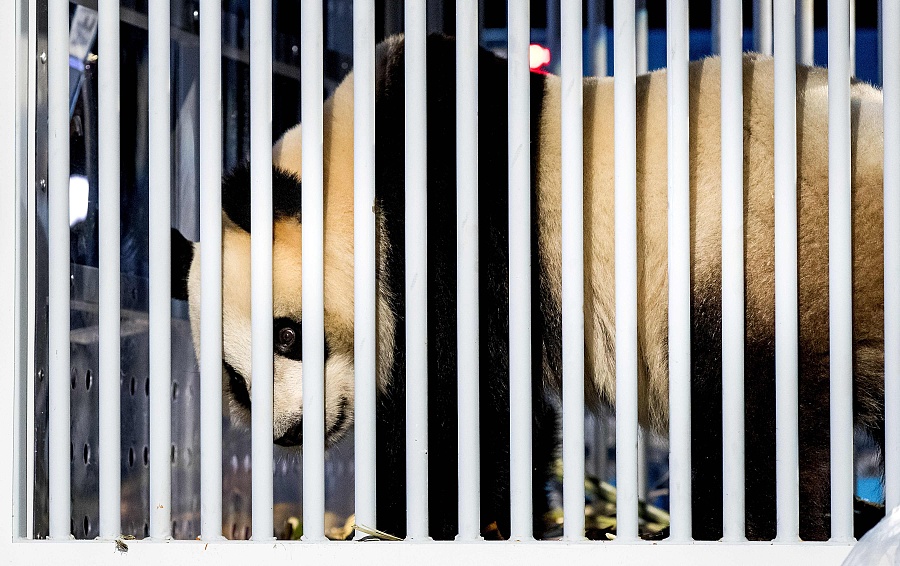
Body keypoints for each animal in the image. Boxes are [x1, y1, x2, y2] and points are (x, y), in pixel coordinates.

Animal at [185, 33, 884, 544]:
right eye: (235, 381)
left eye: (287, 335)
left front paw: (427, 521)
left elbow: (468, 397)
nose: (289, 432)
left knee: (750, 414)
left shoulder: (451, 207)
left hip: (764, 256)